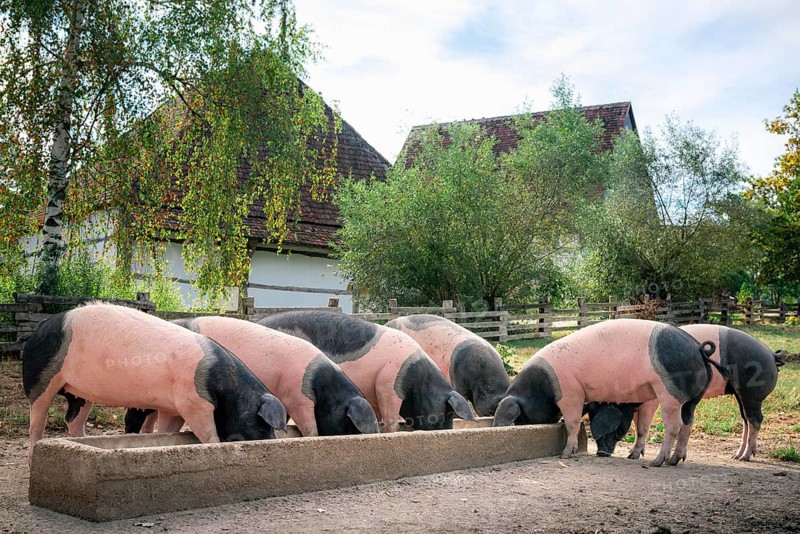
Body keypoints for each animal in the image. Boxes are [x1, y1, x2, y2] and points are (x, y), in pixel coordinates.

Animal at [22, 303, 287, 459]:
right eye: (262, 422)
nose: (272, 442)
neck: (229, 391)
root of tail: (41, 325)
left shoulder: (173, 408)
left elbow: (168, 431)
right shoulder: (193, 403)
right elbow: (209, 434)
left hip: (80, 392)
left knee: (73, 419)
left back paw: (81, 440)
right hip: (40, 380)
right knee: (37, 421)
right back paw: (34, 454)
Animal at [492, 319, 726, 466]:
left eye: (521, 415)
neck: (542, 386)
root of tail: (700, 350)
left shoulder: (570, 391)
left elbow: (573, 423)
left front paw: (566, 455)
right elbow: (639, 427)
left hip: (670, 392)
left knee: (673, 426)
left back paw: (658, 462)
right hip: (692, 400)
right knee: (687, 425)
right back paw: (674, 460)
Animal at [593, 325, 785, 461]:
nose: (601, 453)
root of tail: (771, 355)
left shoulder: (651, 401)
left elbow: (643, 426)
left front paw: (633, 455)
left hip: (751, 393)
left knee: (755, 419)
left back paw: (744, 457)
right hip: (739, 394)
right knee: (745, 419)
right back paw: (736, 455)